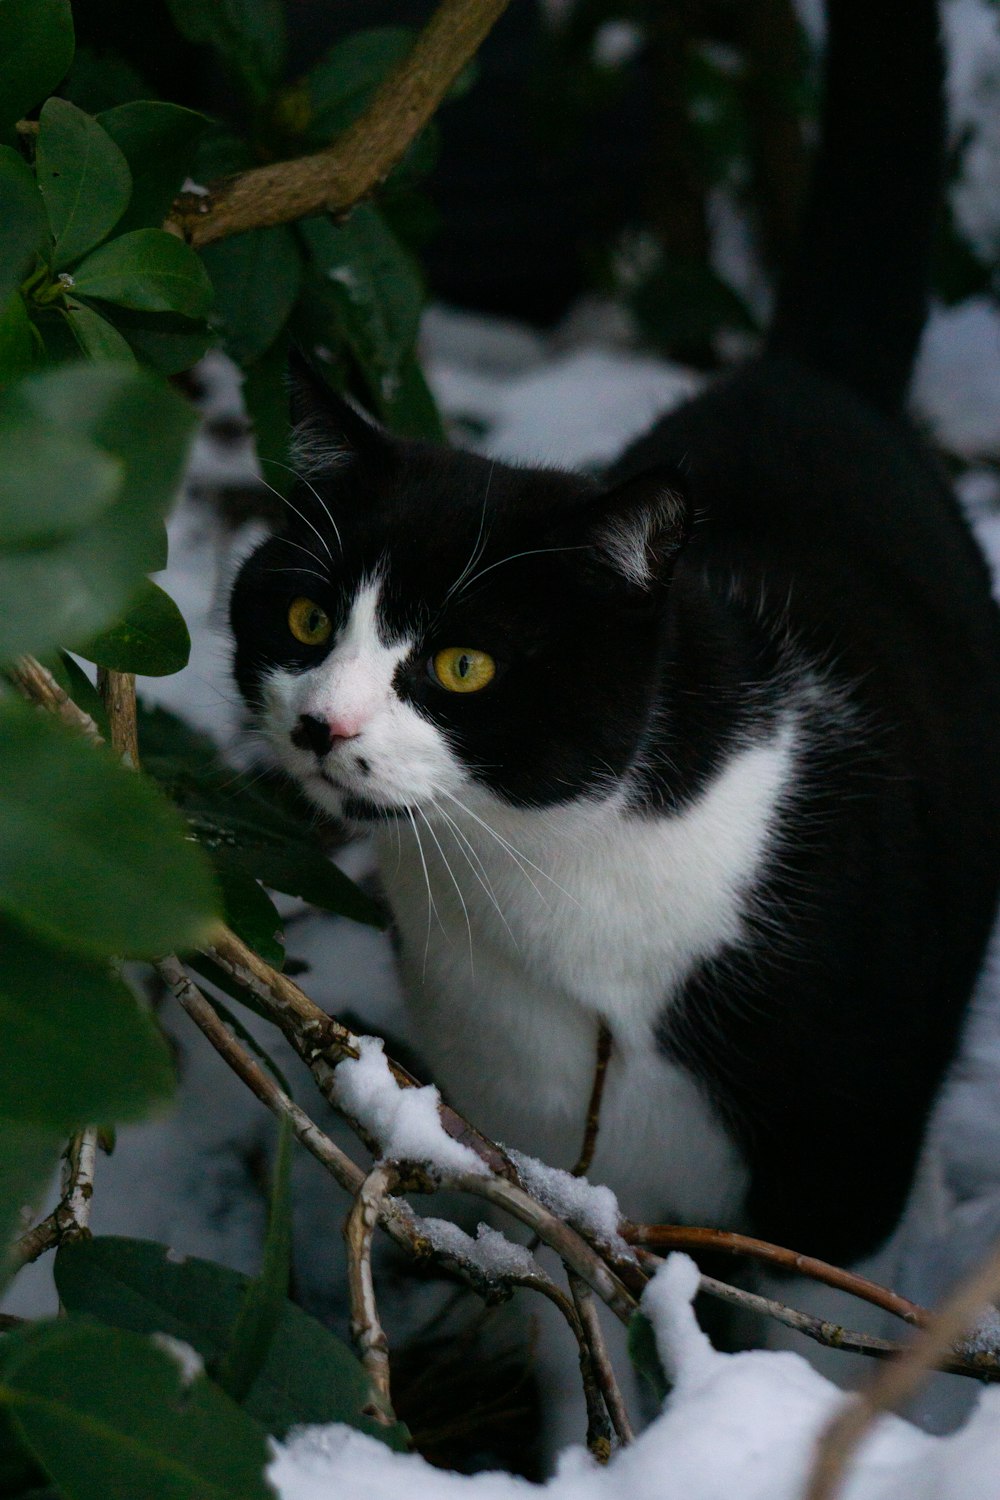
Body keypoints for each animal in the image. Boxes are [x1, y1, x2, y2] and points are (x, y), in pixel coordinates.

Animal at [230, 0, 1000, 1266]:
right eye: (305, 618)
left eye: (463, 664)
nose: (319, 727)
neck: (542, 875)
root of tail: (804, 376)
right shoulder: (534, 1139)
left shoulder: (838, 1167)